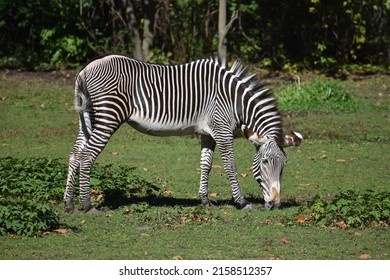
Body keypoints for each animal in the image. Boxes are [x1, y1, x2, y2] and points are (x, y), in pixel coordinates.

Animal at [64, 54, 302, 212]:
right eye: (264, 162)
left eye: (283, 165)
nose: (275, 204)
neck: (235, 101)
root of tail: (85, 69)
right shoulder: (223, 130)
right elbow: (230, 166)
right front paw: (242, 202)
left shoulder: (209, 133)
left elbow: (206, 165)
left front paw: (205, 201)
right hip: (108, 117)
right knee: (87, 156)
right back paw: (87, 205)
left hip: (88, 119)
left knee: (75, 154)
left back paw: (69, 205)